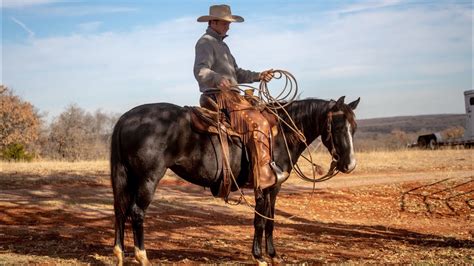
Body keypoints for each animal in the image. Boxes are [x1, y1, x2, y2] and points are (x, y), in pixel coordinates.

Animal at [109, 95, 360, 264]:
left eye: (354, 128)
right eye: (338, 126)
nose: (350, 165)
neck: (281, 134)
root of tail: (125, 118)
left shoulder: (274, 188)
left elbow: (270, 220)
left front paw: (273, 255)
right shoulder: (265, 187)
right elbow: (260, 221)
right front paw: (259, 257)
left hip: (127, 177)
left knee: (120, 210)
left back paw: (119, 253)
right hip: (148, 178)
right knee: (136, 212)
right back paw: (142, 256)